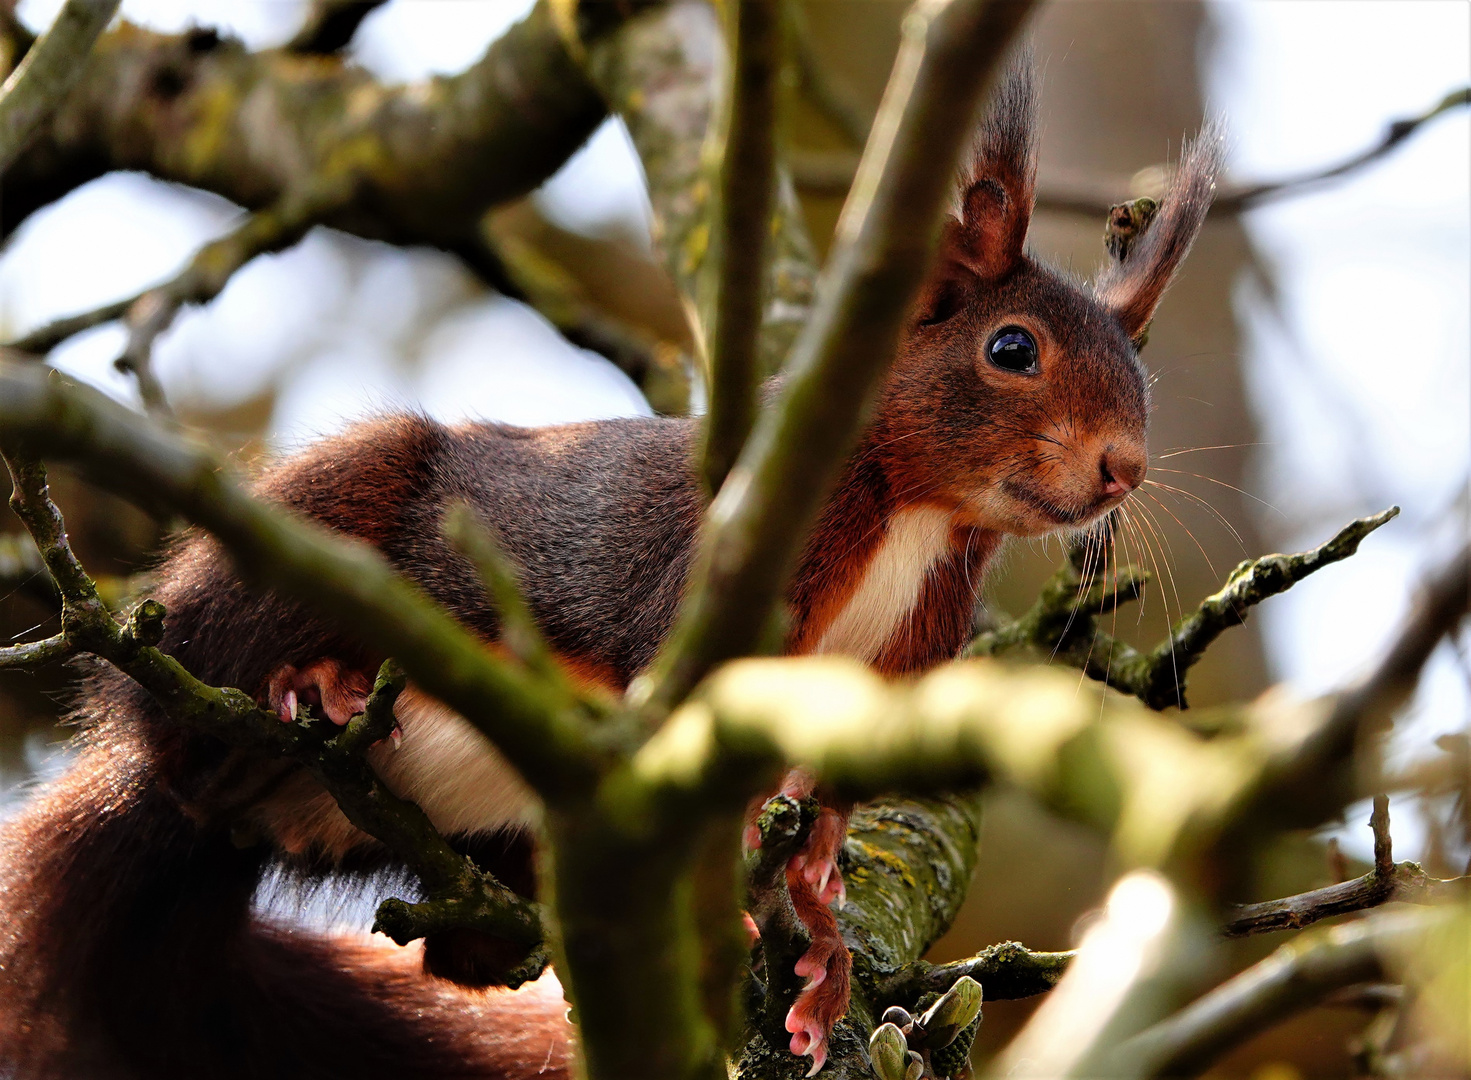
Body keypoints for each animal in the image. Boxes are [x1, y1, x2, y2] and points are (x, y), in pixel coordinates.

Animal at [0, 65, 1217, 1080]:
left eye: (1140, 373)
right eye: (1010, 350)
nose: (1122, 466)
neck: (919, 512)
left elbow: (824, 809)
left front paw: (819, 940)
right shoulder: (709, 581)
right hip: (293, 552)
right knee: (186, 729)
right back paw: (311, 687)